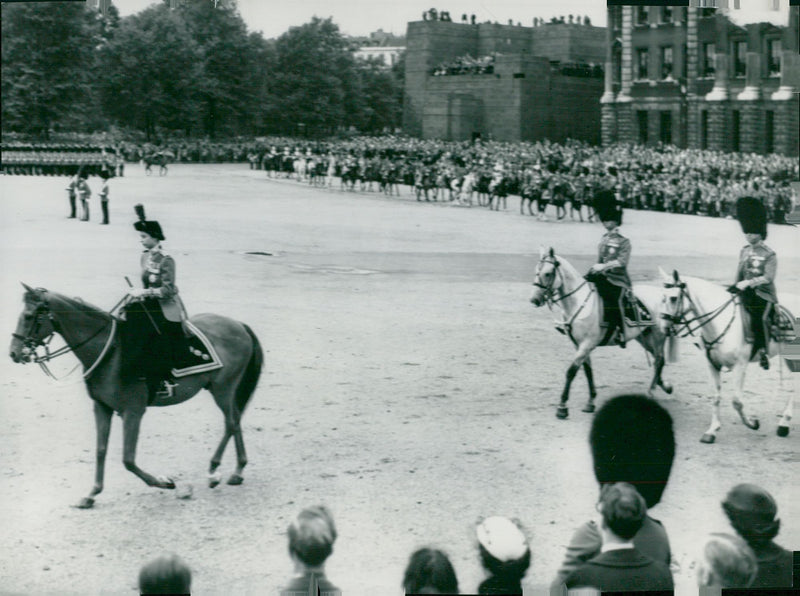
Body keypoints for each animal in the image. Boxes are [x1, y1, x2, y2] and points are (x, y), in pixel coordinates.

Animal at [8, 288, 262, 508]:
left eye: (29, 316)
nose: (13, 353)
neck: (109, 351)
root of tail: (239, 325)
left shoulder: (133, 411)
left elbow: (128, 459)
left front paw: (163, 481)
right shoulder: (101, 407)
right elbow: (101, 450)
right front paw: (92, 494)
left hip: (223, 389)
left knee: (231, 423)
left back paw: (213, 472)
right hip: (222, 390)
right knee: (235, 420)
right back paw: (238, 471)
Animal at [532, 247, 676, 420]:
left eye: (547, 273)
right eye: (536, 271)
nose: (534, 299)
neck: (579, 303)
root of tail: (662, 294)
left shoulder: (586, 345)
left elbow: (571, 372)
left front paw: (562, 407)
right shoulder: (579, 346)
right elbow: (588, 371)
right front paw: (590, 402)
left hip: (658, 336)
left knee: (659, 360)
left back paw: (651, 392)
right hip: (645, 338)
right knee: (657, 360)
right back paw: (665, 386)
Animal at [656, 268, 792, 442]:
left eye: (673, 298)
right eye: (661, 296)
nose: (664, 327)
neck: (720, 322)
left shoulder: (739, 366)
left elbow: (737, 401)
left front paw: (752, 423)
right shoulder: (712, 365)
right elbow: (715, 397)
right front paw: (712, 430)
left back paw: (784, 423)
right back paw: (784, 424)